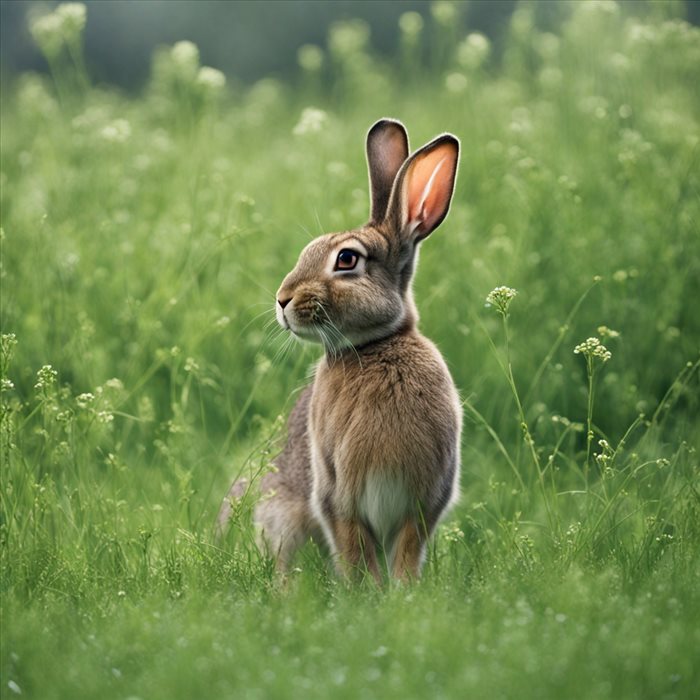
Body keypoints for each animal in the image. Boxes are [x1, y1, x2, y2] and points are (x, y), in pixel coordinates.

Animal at [216, 119, 462, 580]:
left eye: (346, 259)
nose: (282, 300)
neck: (377, 345)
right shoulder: (338, 496)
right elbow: (354, 553)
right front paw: (366, 591)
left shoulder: (420, 504)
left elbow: (404, 556)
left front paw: (404, 592)